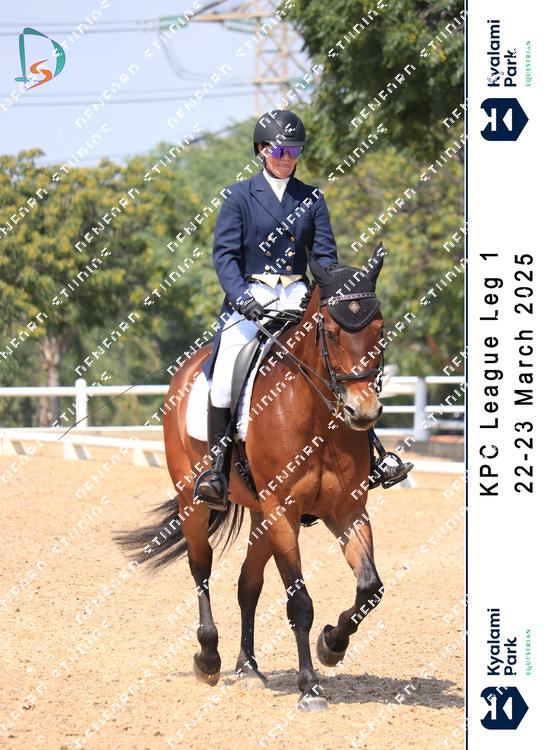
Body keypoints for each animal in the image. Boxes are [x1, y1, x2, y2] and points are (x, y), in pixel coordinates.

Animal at [116, 244, 387, 712]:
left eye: (380, 329)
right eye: (332, 333)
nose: (363, 412)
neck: (316, 418)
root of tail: (188, 369)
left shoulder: (347, 508)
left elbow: (369, 587)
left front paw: (331, 646)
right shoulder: (283, 511)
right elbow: (299, 603)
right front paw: (309, 687)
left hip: (261, 516)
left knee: (248, 584)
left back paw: (248, 668)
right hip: (195, 501)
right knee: (201, 567)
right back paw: (209, 659)